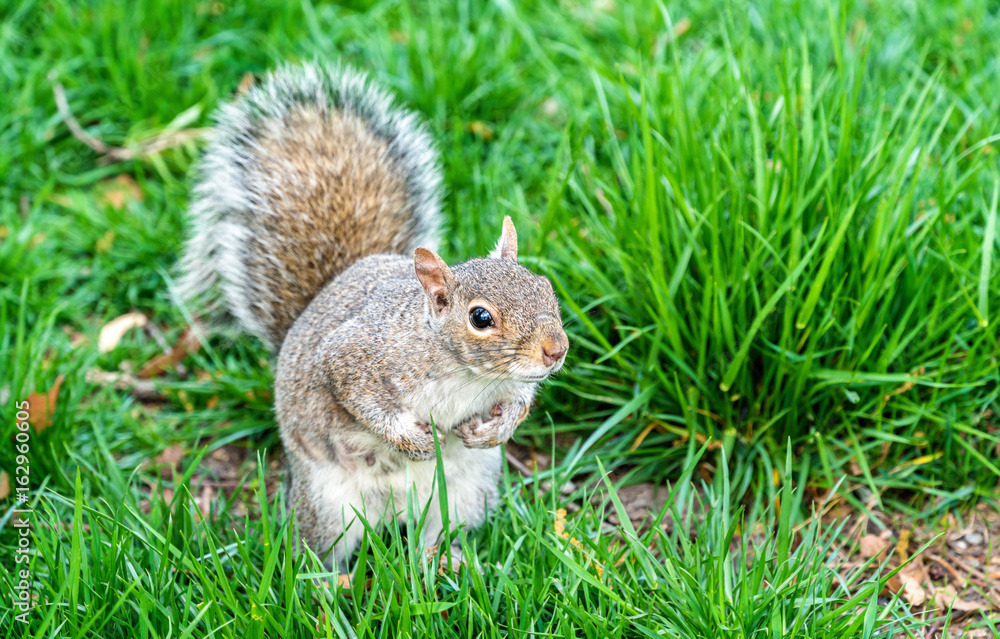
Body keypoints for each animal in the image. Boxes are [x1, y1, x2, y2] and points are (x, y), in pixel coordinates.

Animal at [179, 62, 568, 572]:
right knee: (317, 552)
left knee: (432, 539)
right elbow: (356, 394)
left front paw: (494, 430)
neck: (466, 374)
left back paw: (448, 562)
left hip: (463, 496)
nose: (555, 351)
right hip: (327, 504)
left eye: (545, 286)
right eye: (481, 317)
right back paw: (330, 582)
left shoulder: (510, 384)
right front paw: (412, 441)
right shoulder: (358, 354)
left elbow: (520, 400)